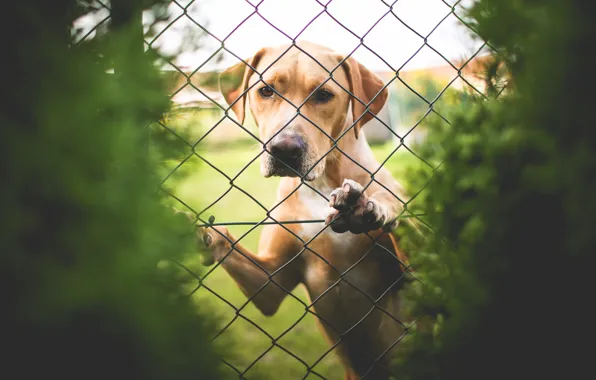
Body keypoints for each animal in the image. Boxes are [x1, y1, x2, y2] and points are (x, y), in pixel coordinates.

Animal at [198, 41, 412, 380]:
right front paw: (201, 234)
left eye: (324, 94)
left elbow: (396, 208)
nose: (284, 150)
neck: (321, 183)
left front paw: (372, 205)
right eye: (266, 90)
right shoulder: (271, 281)